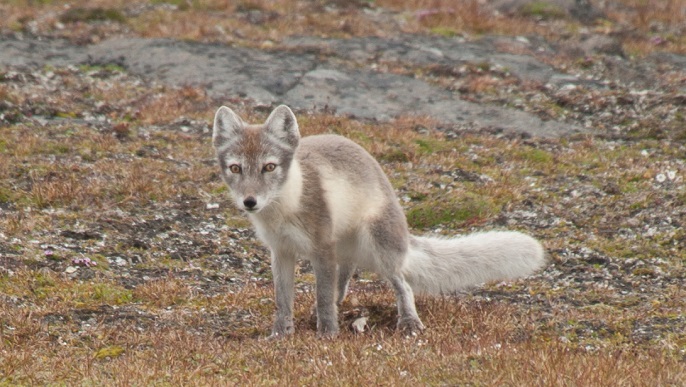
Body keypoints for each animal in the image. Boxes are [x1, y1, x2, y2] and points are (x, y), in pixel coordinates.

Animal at [212, 104, 544, 338]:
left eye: (269, 167)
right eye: (236, 168)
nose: (250, 202)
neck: (283, 208)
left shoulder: (321, 246)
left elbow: (323, 296)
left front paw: (327, 335)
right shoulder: (281, 252)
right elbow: (283, 300)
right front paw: (281, 334)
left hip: (378, 244)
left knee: (402, 285)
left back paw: (409, 322)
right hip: (347, 249)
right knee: (344, 280)